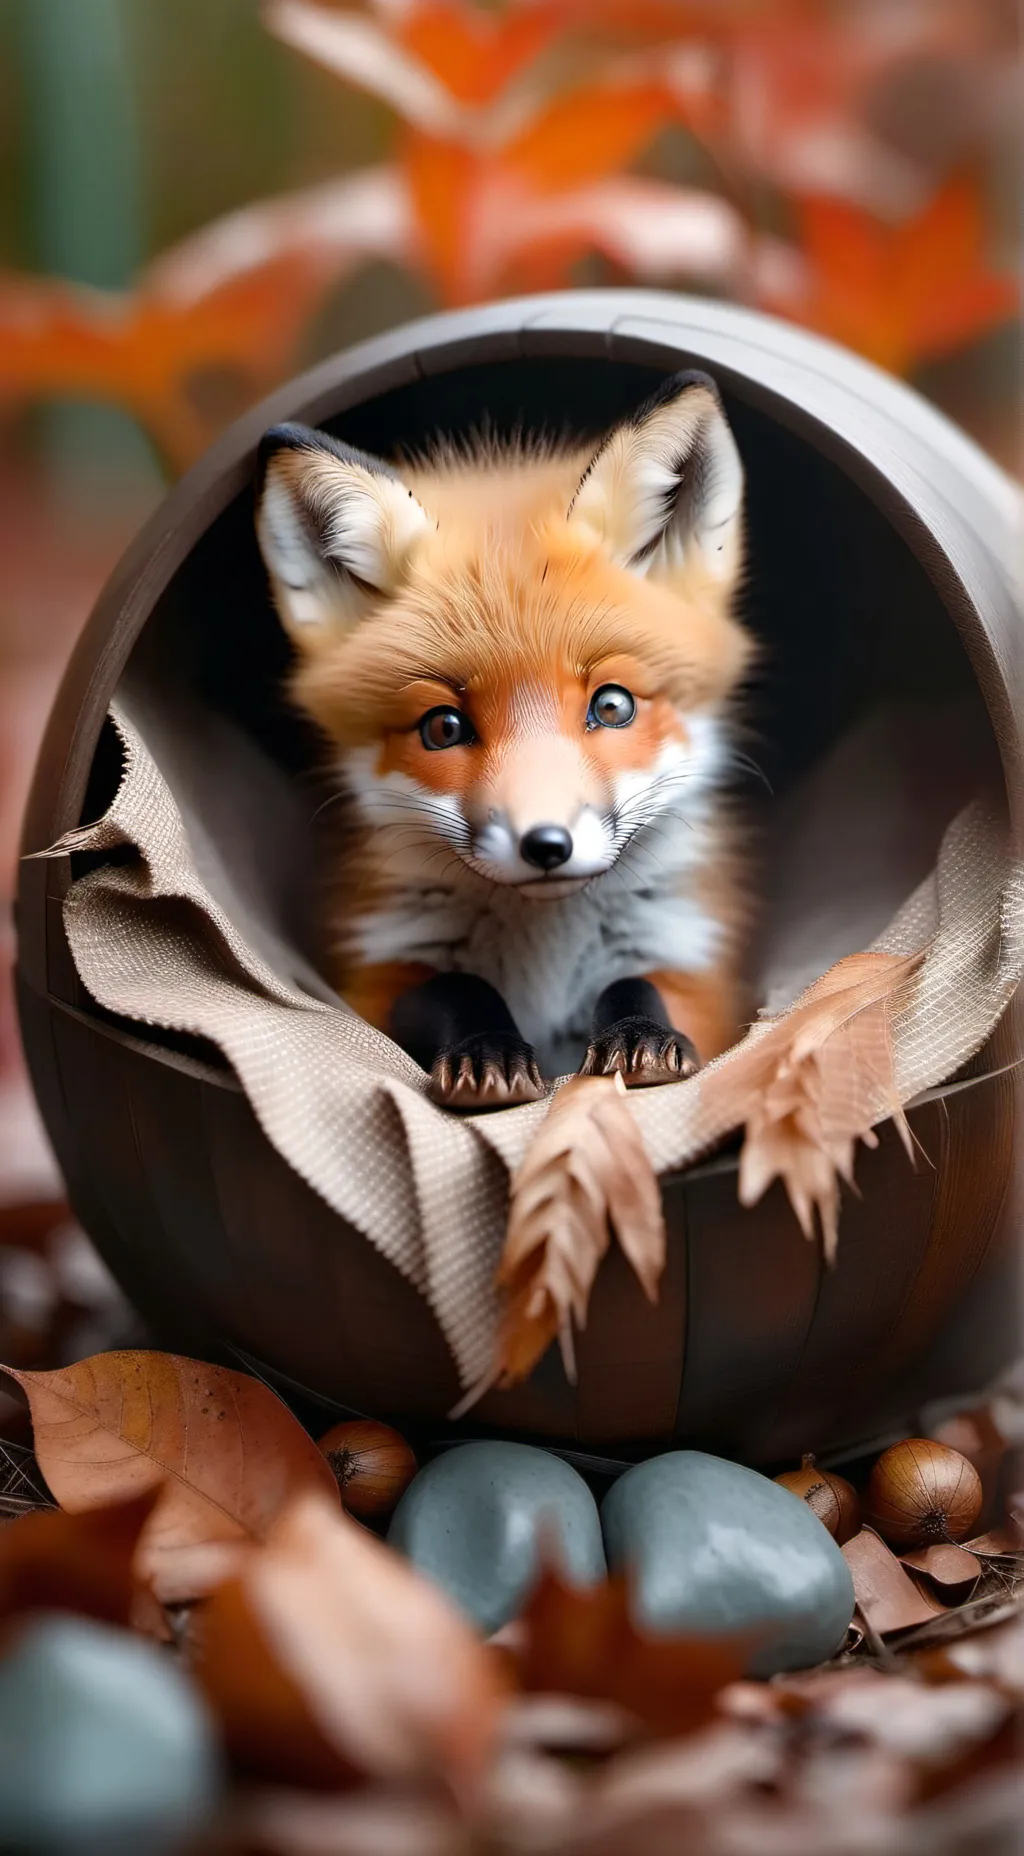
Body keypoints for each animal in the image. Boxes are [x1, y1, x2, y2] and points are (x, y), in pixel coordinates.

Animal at [254, 370, 753, 1111]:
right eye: (443, 727)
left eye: (613, 705)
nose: (546, 845)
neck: (545, 956)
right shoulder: (374, 978)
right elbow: (455, 986)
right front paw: (487, 1051)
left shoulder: (697, 973)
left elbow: (634, 985)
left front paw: (639, 1036)